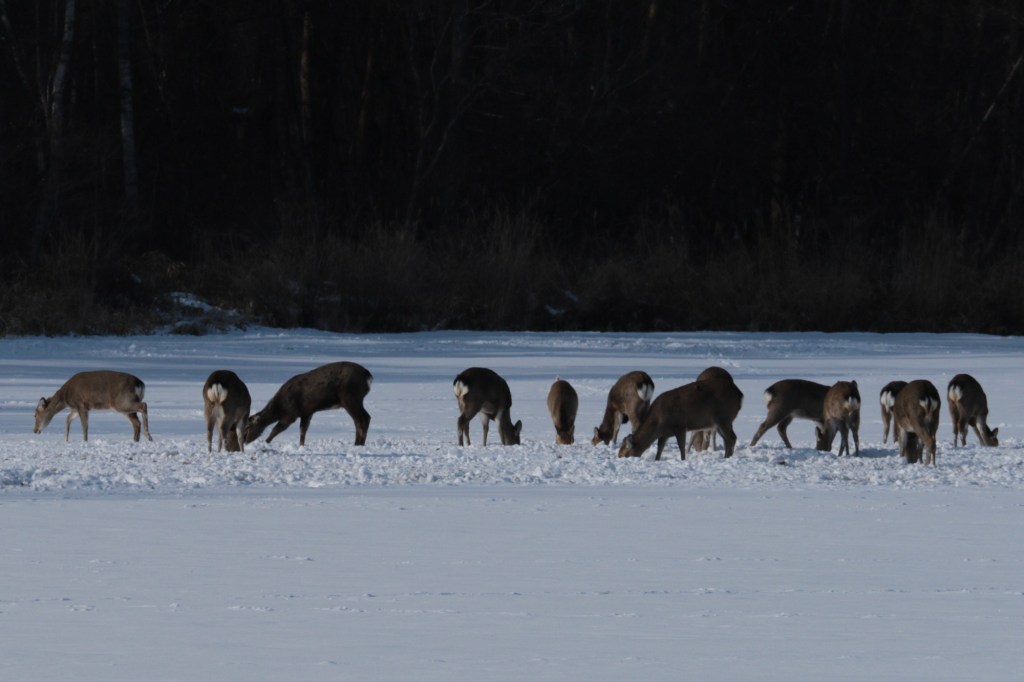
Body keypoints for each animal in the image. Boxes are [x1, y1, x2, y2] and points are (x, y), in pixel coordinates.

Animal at [244, 361, 372, 447]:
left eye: (248, 427)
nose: (245, 441)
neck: (279, 408)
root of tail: (368, 375)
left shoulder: (291, 413)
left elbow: (276, 429)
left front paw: (266, 442)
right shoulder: (307, 412)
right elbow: (303, 431)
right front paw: (301, 445)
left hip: (349, 397)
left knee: (359, 420)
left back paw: (357, 444)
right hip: (357, 399)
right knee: (367, 417)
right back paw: (361, 443)